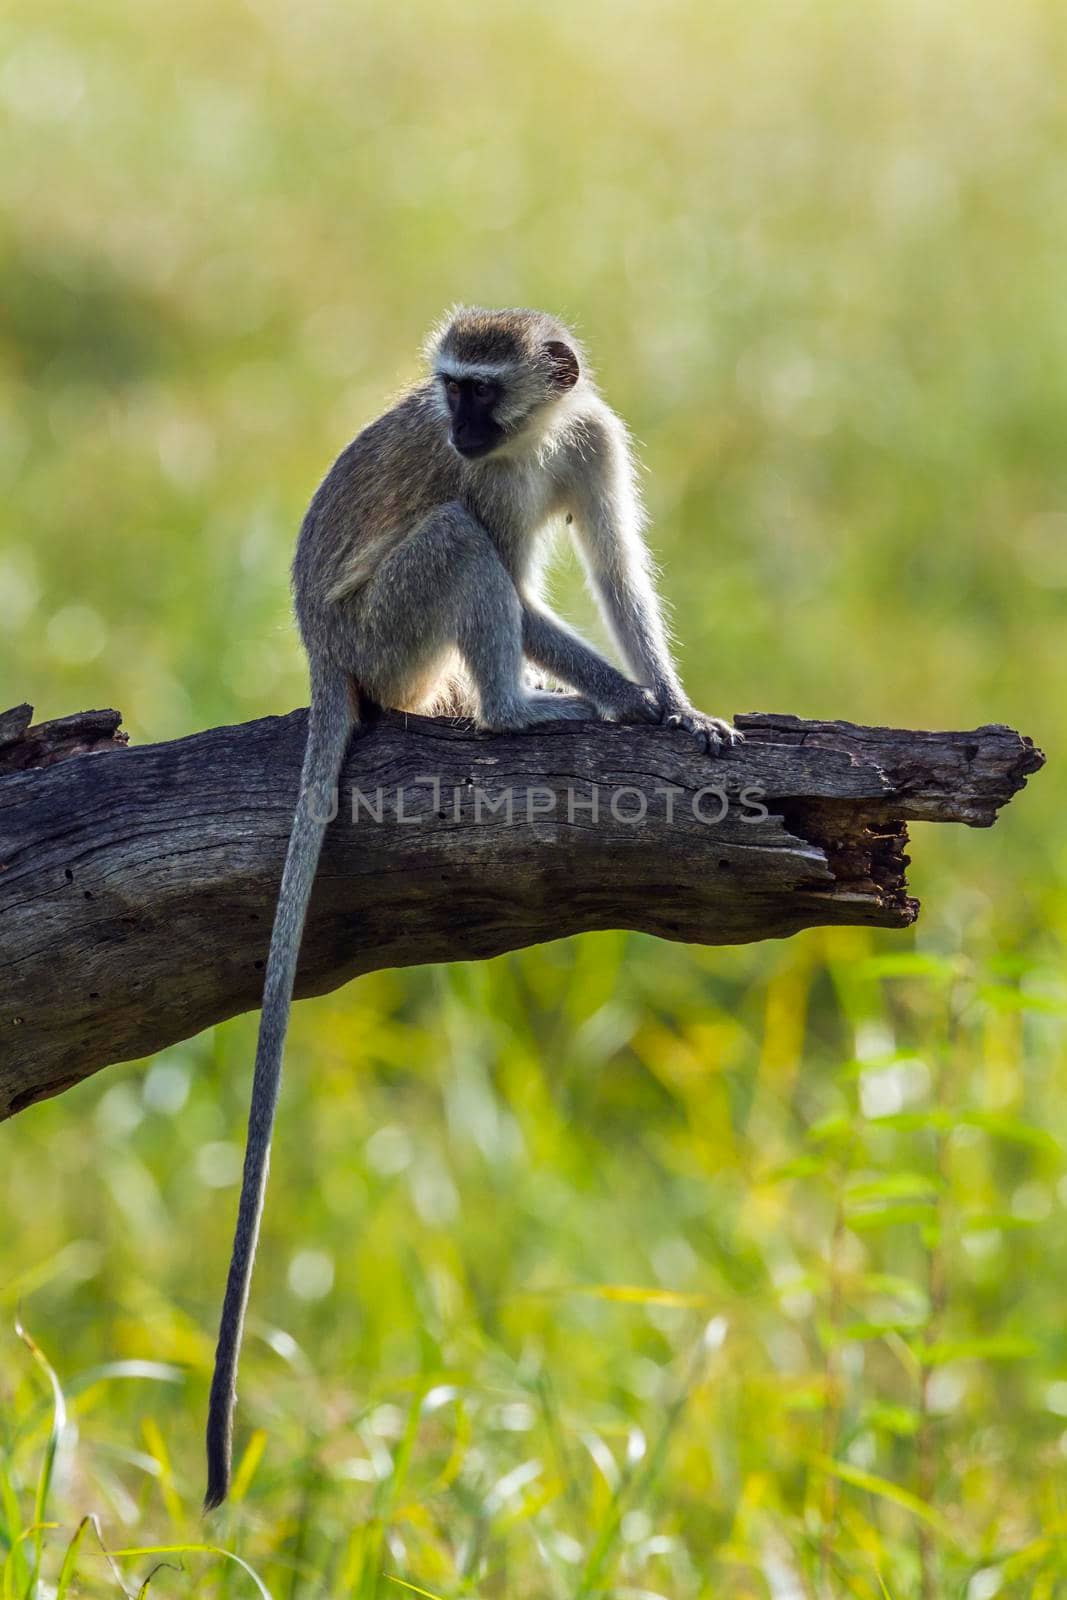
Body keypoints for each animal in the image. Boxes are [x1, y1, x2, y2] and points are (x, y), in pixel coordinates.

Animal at [206, 302, 742, 1510]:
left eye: (476, 388)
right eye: (446, 386)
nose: (450, 428)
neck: (527, 439)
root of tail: (321, 651)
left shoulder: (592, 440)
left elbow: (615, 569)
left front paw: (675, 702)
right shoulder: (488, 484)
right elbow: (514, 574)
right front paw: (632, 702)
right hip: (385, 632)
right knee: (454, 545)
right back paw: (510, 711)